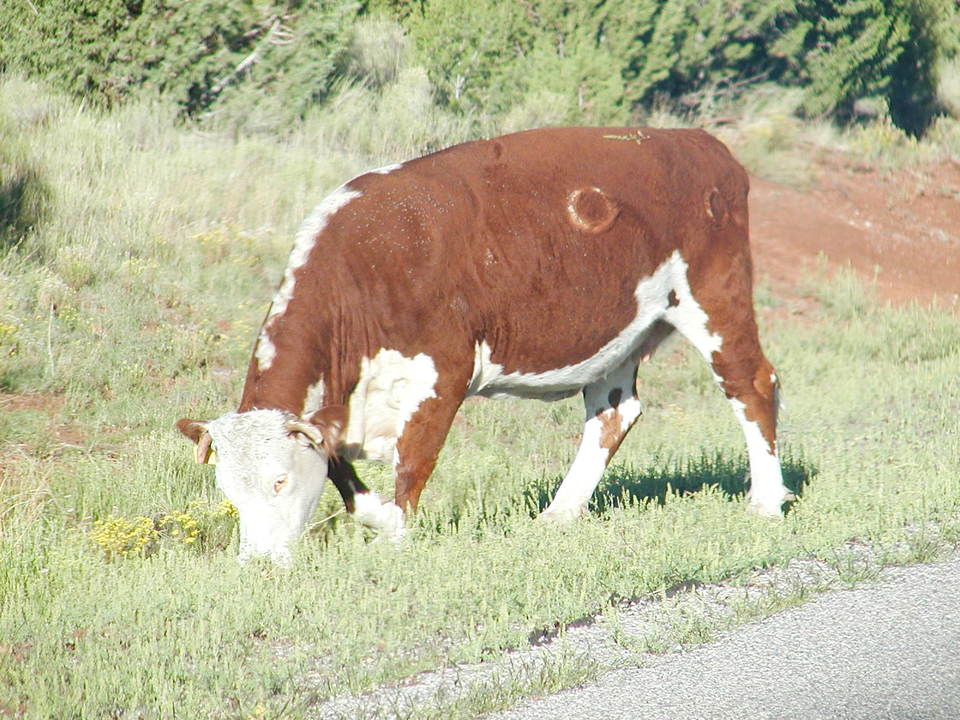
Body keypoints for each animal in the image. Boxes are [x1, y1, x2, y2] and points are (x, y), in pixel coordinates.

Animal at [177, 126, 791, 564]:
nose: (256, 563)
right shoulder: (335, 412)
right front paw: (378, 519)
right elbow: (345, 480)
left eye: (279, 480)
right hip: (619, 333)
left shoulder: (440, 375)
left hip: (714, 295)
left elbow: (412, 465)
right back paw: (558, 516)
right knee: (614, 414)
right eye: (227, 489)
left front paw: (396, 541)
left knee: (752, 383)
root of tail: (694, 141)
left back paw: (766, 502)